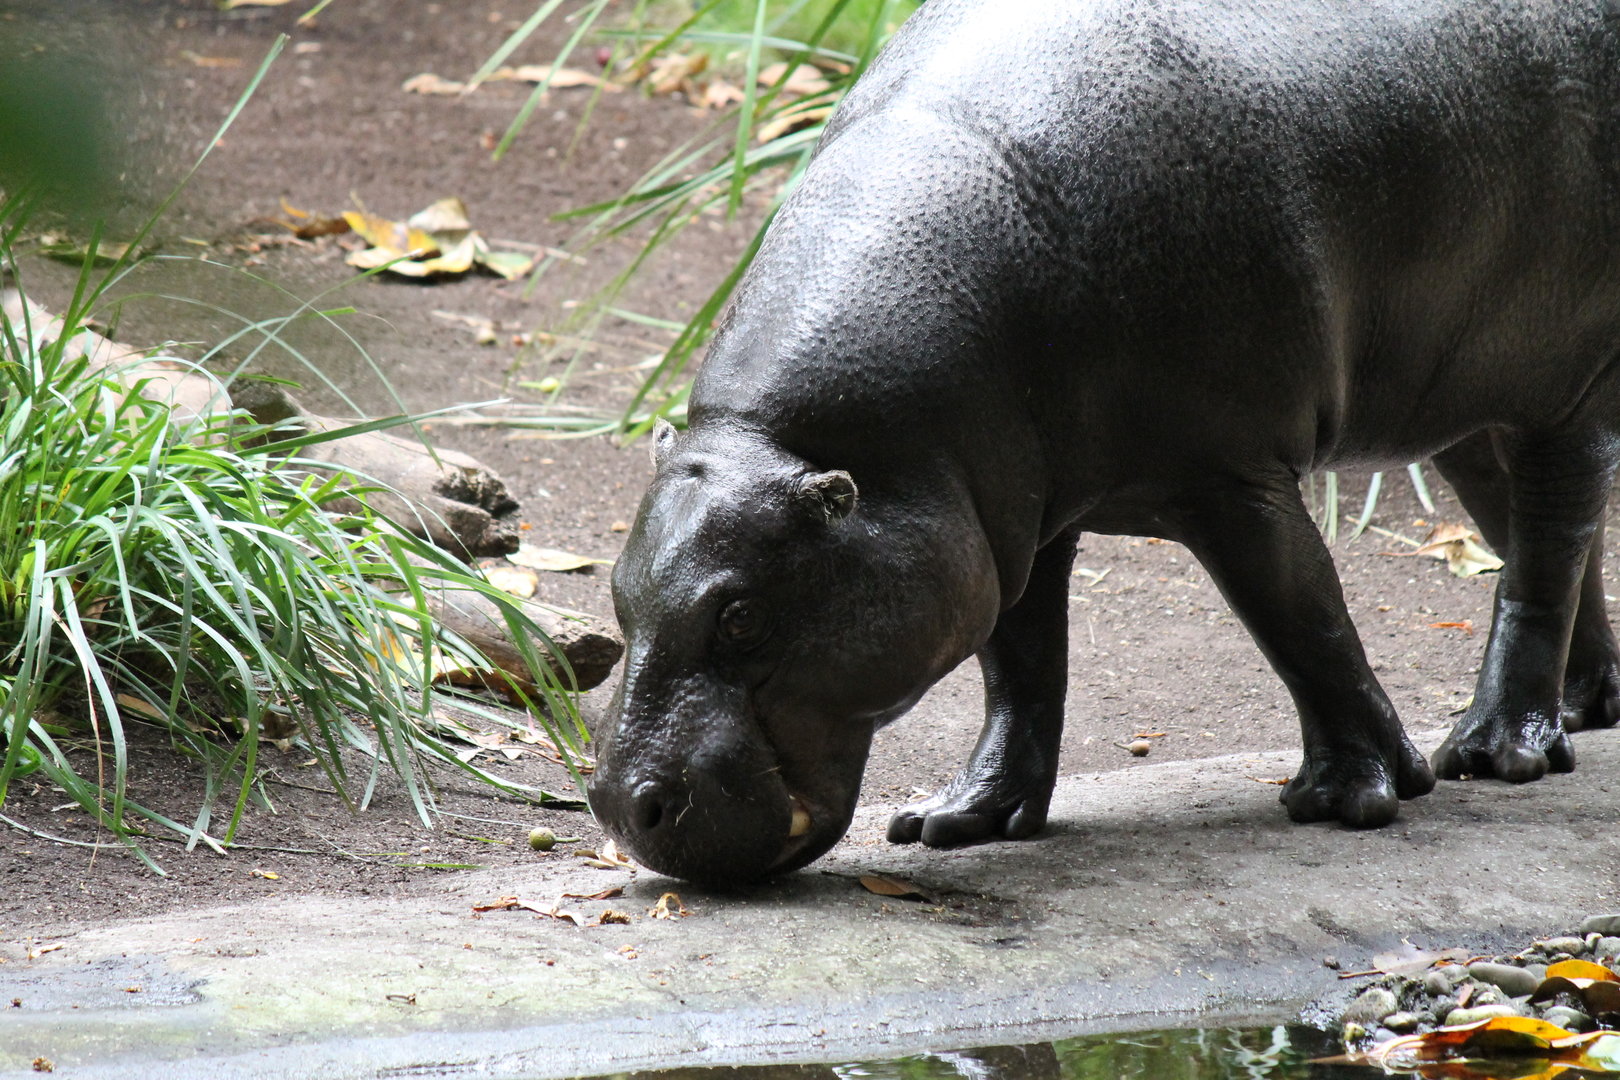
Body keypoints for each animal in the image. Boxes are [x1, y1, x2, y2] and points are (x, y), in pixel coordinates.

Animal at [588, 0, 1620, 884]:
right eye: (617, 596)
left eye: (741, 616)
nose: (618, 806)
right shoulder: (1000, 514)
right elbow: (1020, 663)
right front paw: (962, 820)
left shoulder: (1233, 476)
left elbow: (1303, 618)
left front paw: (1352, 798)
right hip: (1459, 399)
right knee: (1535, 535)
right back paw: (1583, 710)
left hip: (1565, 383)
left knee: (1548, 543)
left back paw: (1497, 751)